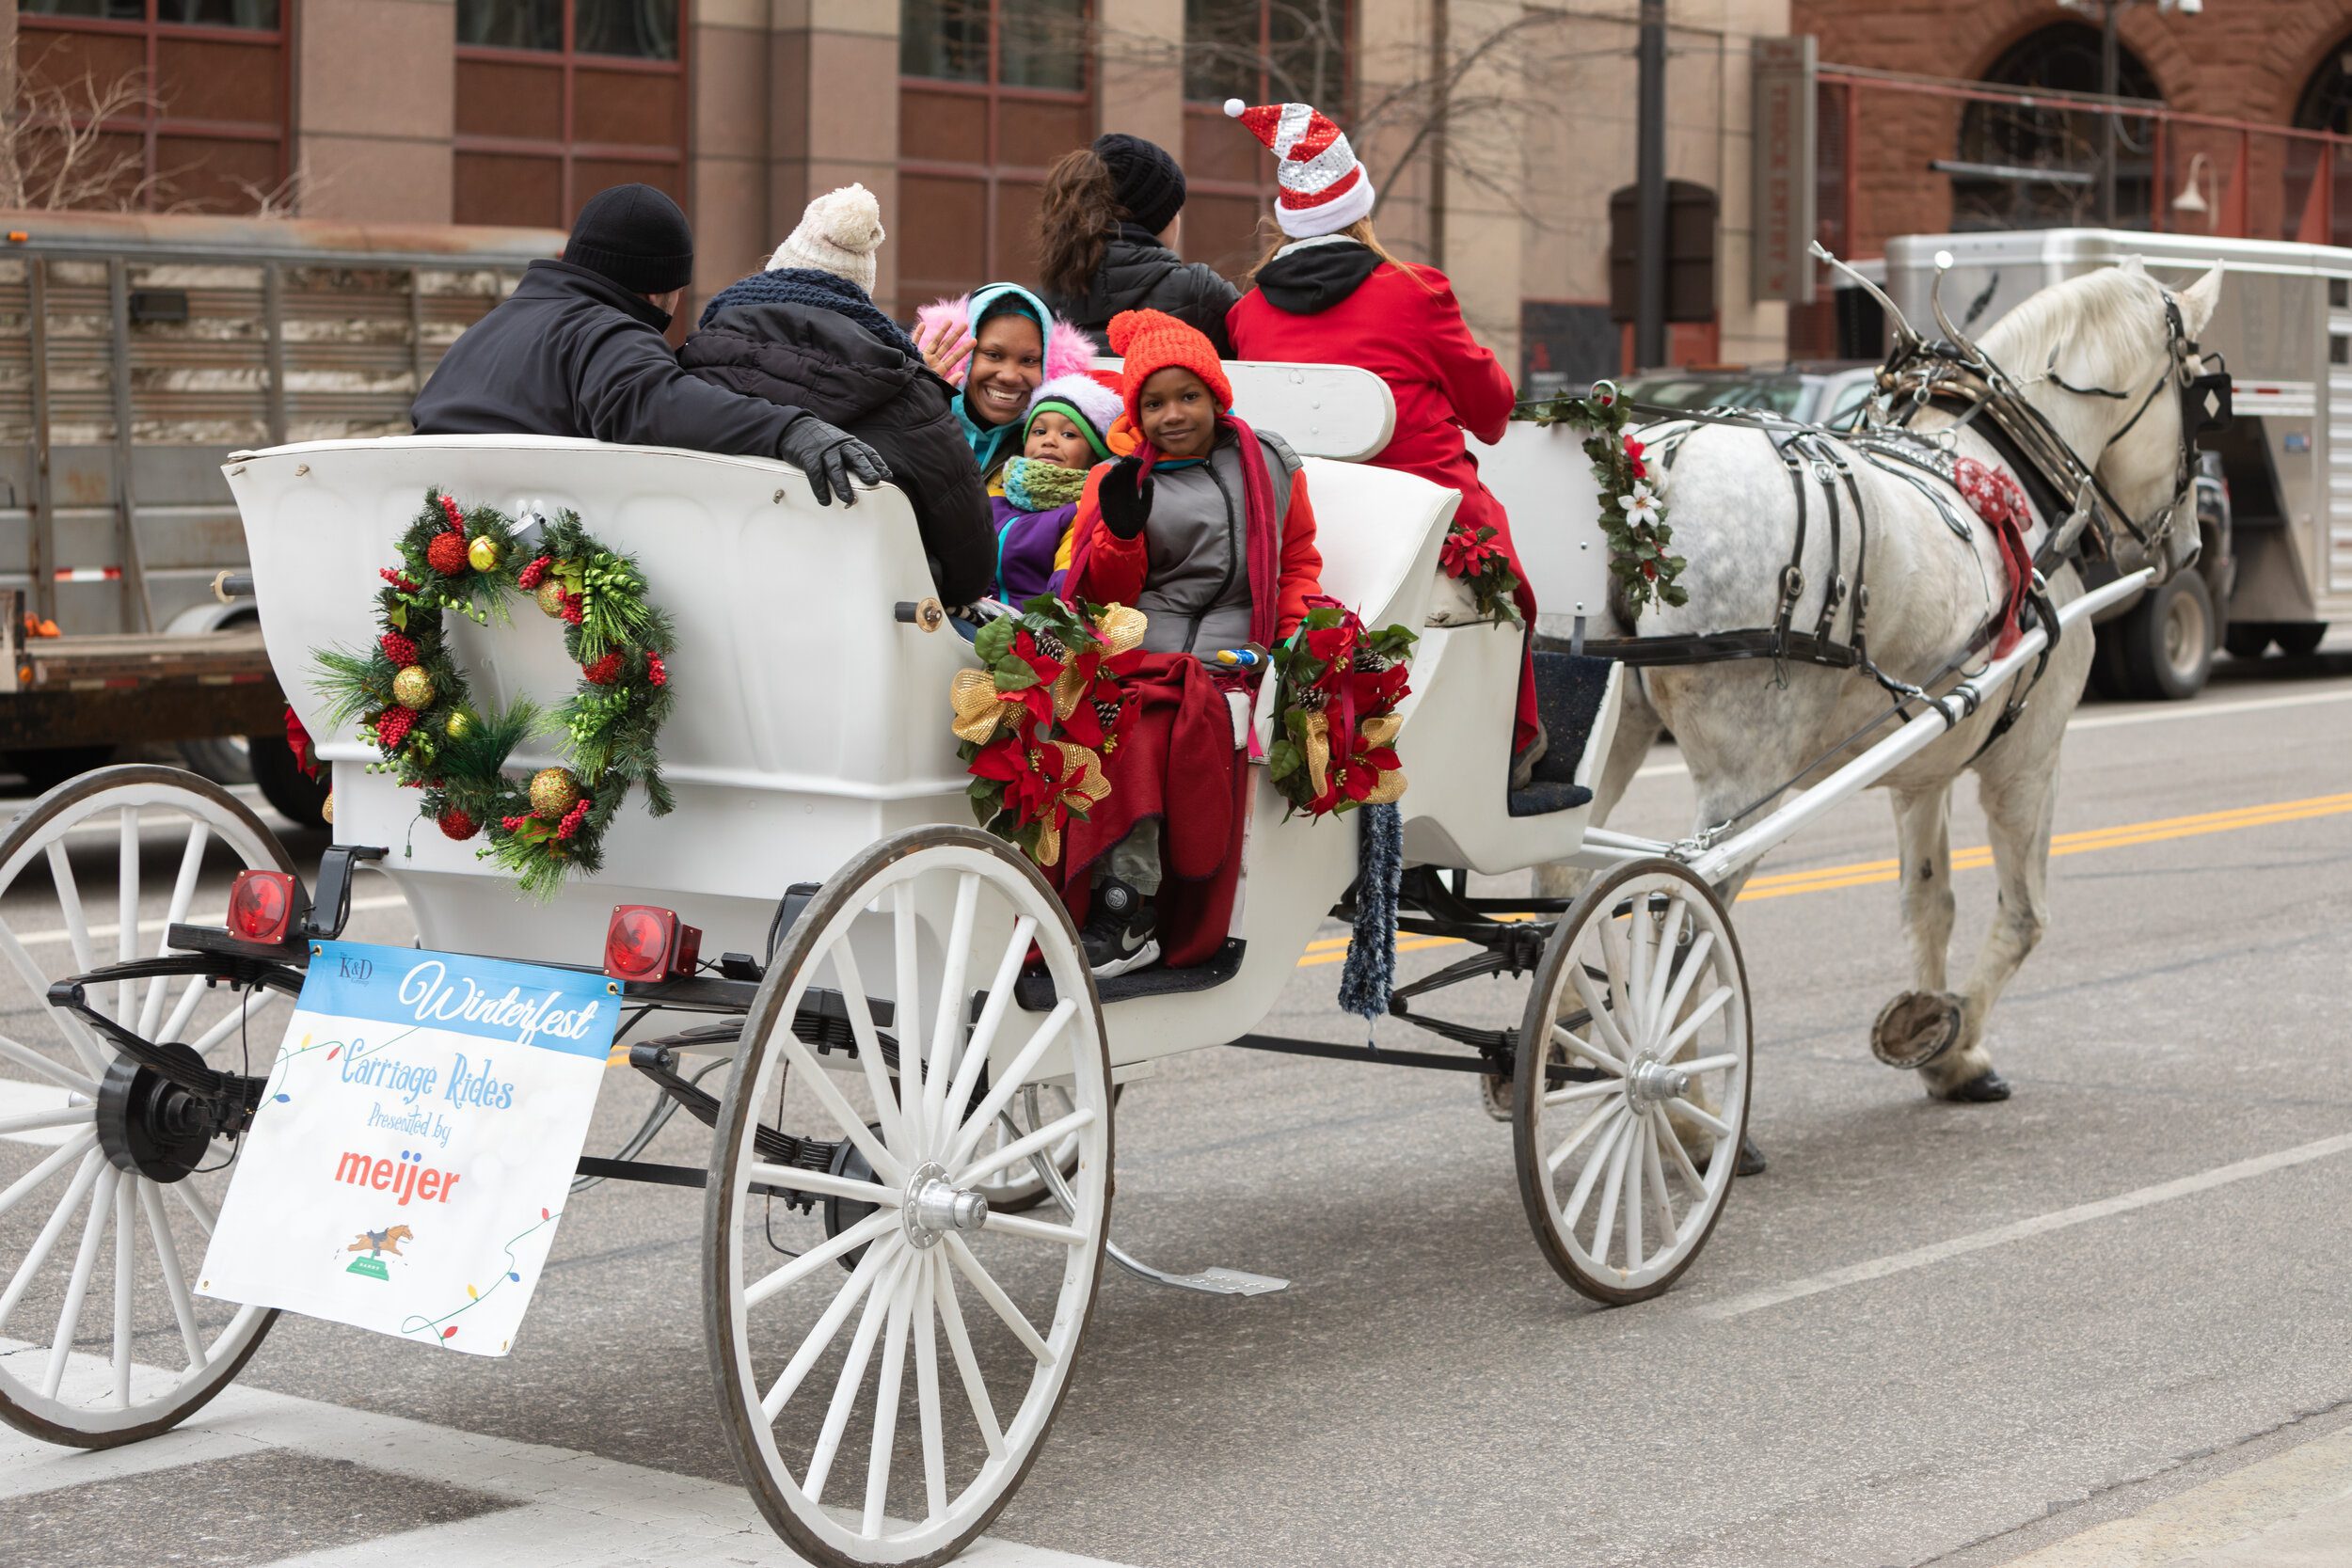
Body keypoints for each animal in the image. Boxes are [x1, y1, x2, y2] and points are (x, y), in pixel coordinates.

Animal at [1552, 261, 2211, 1104]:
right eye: (2199, 391)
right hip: (1746, 778)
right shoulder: (2028, 756)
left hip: (1604, 734)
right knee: (1682, 921)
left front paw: (1933, 1037)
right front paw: (1954, 1037)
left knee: (1559, 877)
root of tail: (1648, 475)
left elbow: (1930, 899)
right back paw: (1685, 1108)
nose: (2187, 546)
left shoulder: (1924, 761)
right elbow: (2026, 915)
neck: (2013, 473)